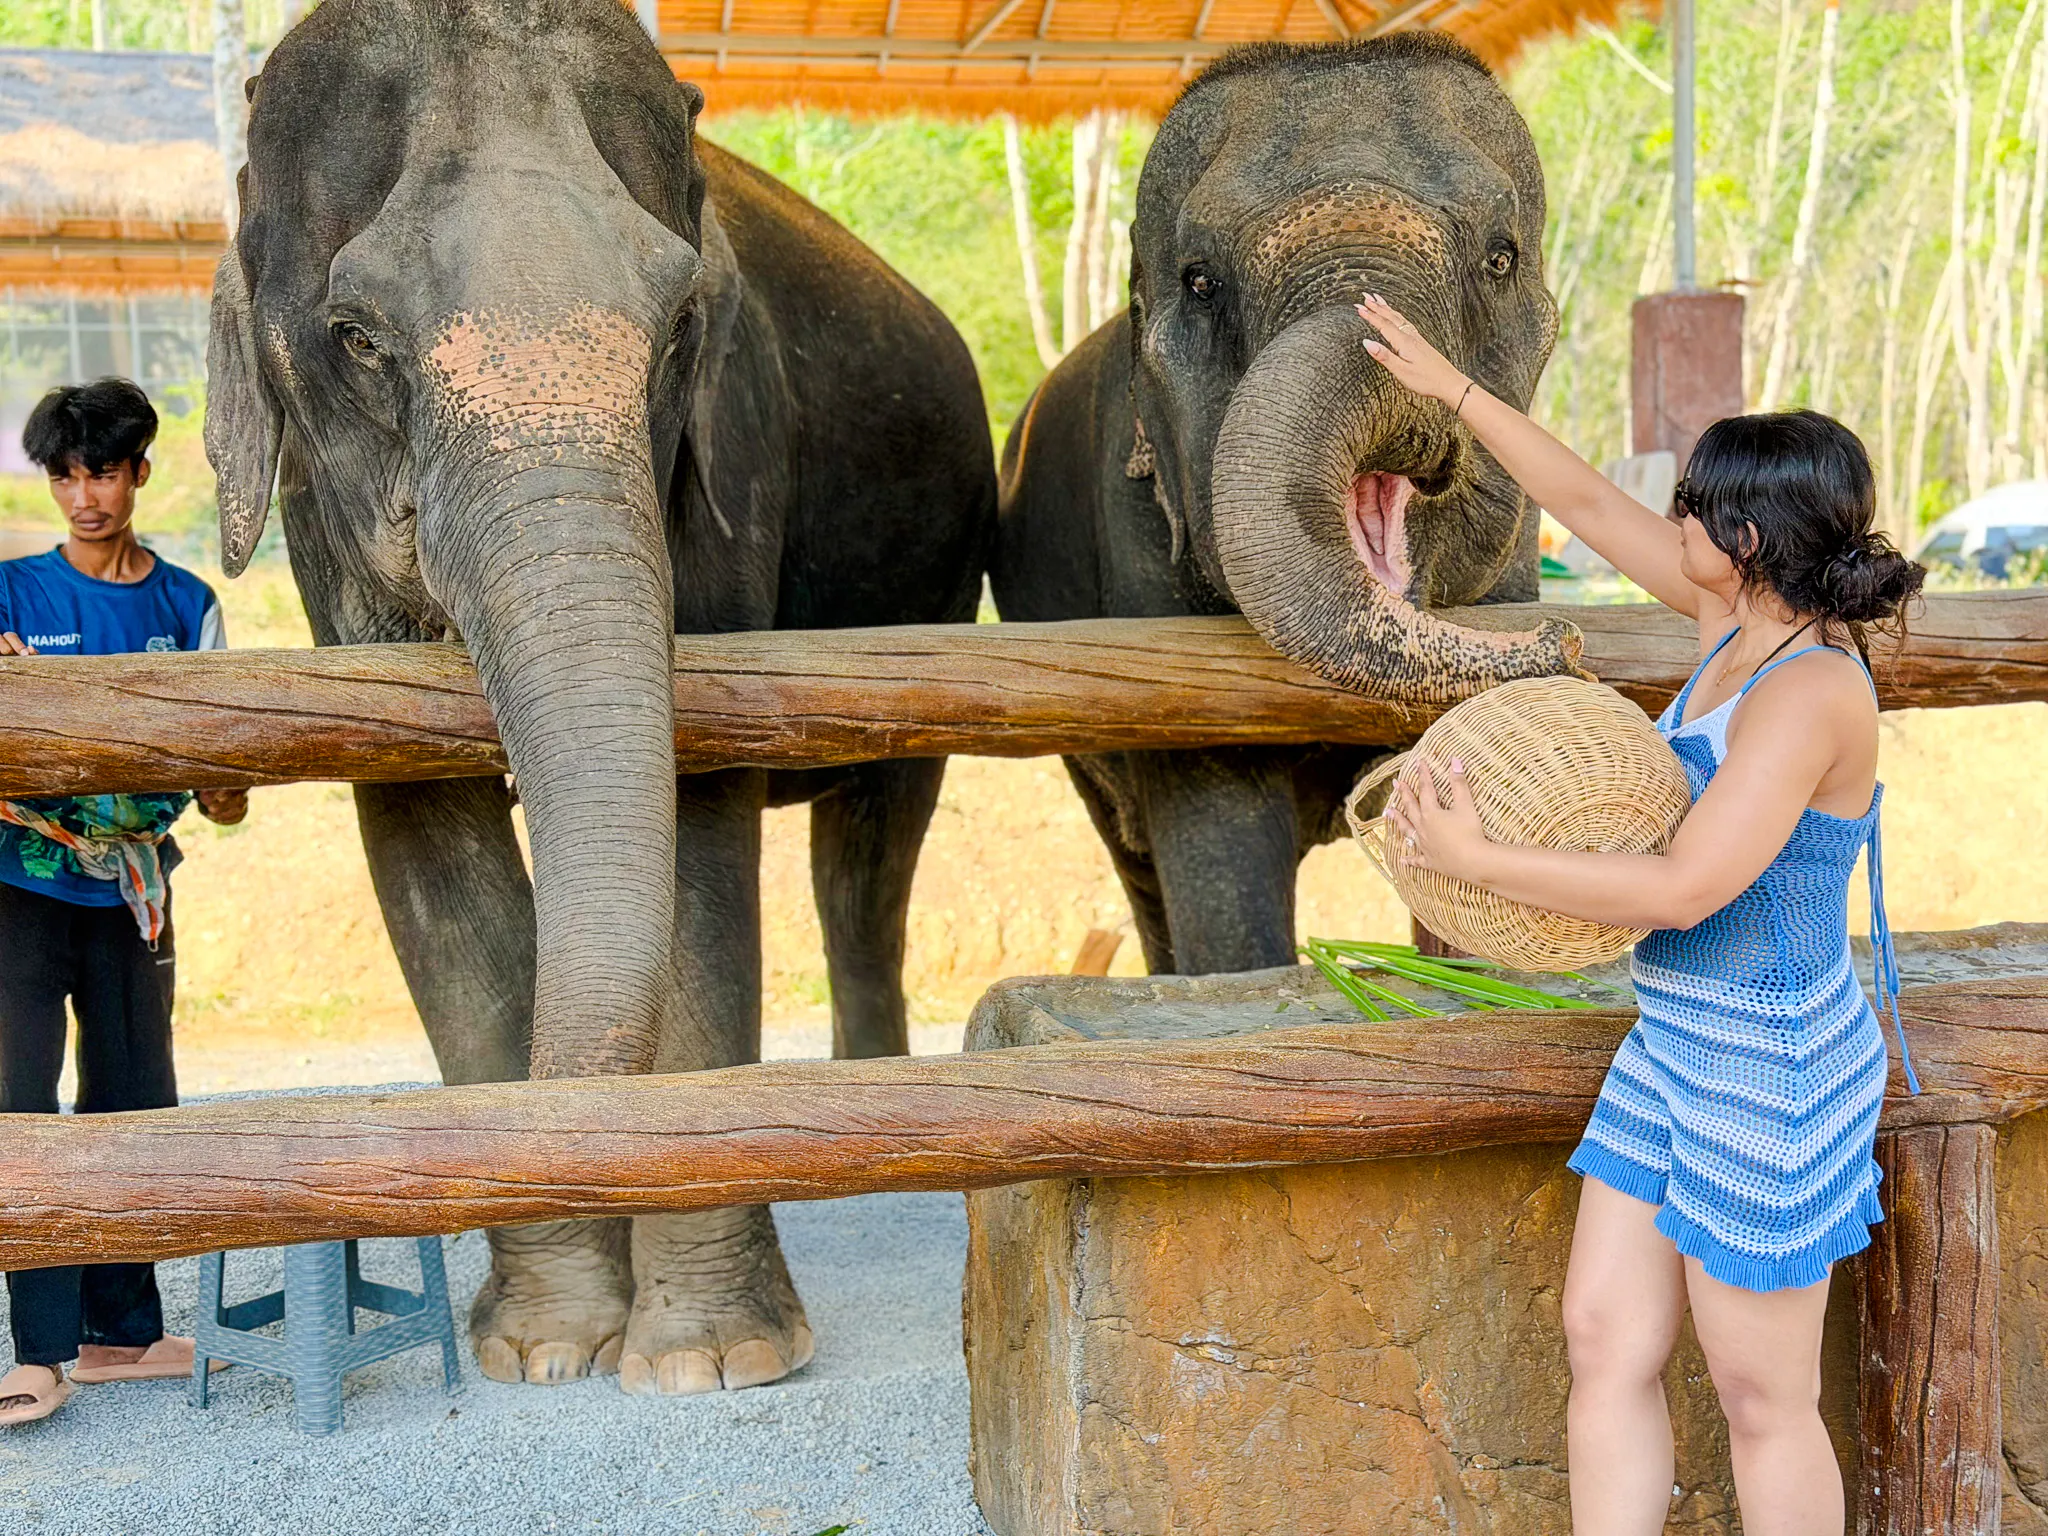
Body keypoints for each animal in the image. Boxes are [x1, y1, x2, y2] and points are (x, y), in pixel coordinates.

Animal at [204, 0, 994, 1393]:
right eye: (357, 339)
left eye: (680, 325)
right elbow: (431, 864)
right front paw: (543, 1346)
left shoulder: (736, 462)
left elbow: (700, 841)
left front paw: (714, 1359)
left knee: (868, 853)